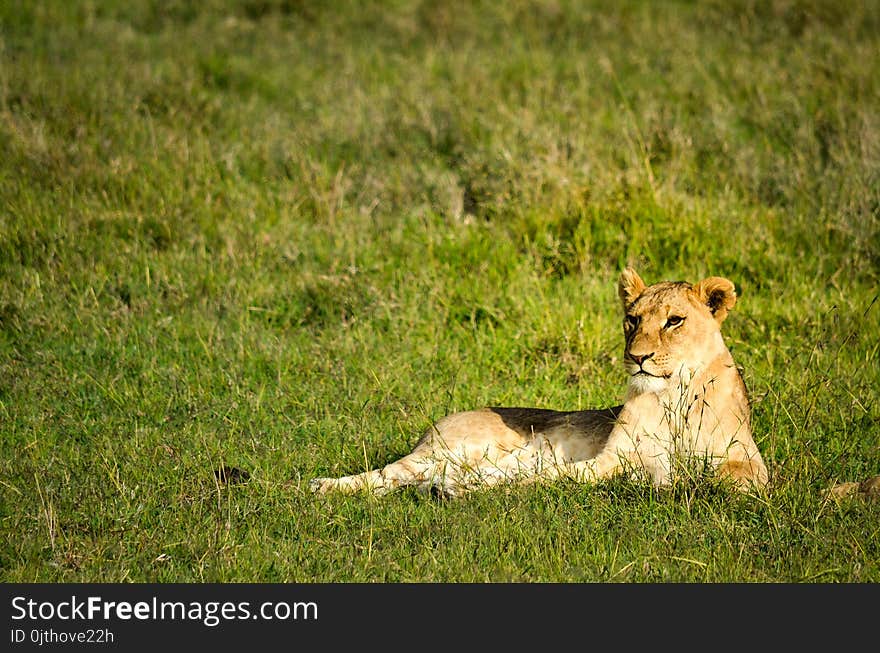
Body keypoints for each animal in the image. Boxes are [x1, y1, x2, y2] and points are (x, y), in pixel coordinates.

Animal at [312, 268, 768, 496]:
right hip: (446, 451)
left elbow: (734, 475)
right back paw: (324, 487)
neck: (672, 394)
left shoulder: (749, 458)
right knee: (390, 472)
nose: (638, 357)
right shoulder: (611, 458)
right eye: (632, 319)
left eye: (674, 321)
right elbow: (566, 476)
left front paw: (694, 480)